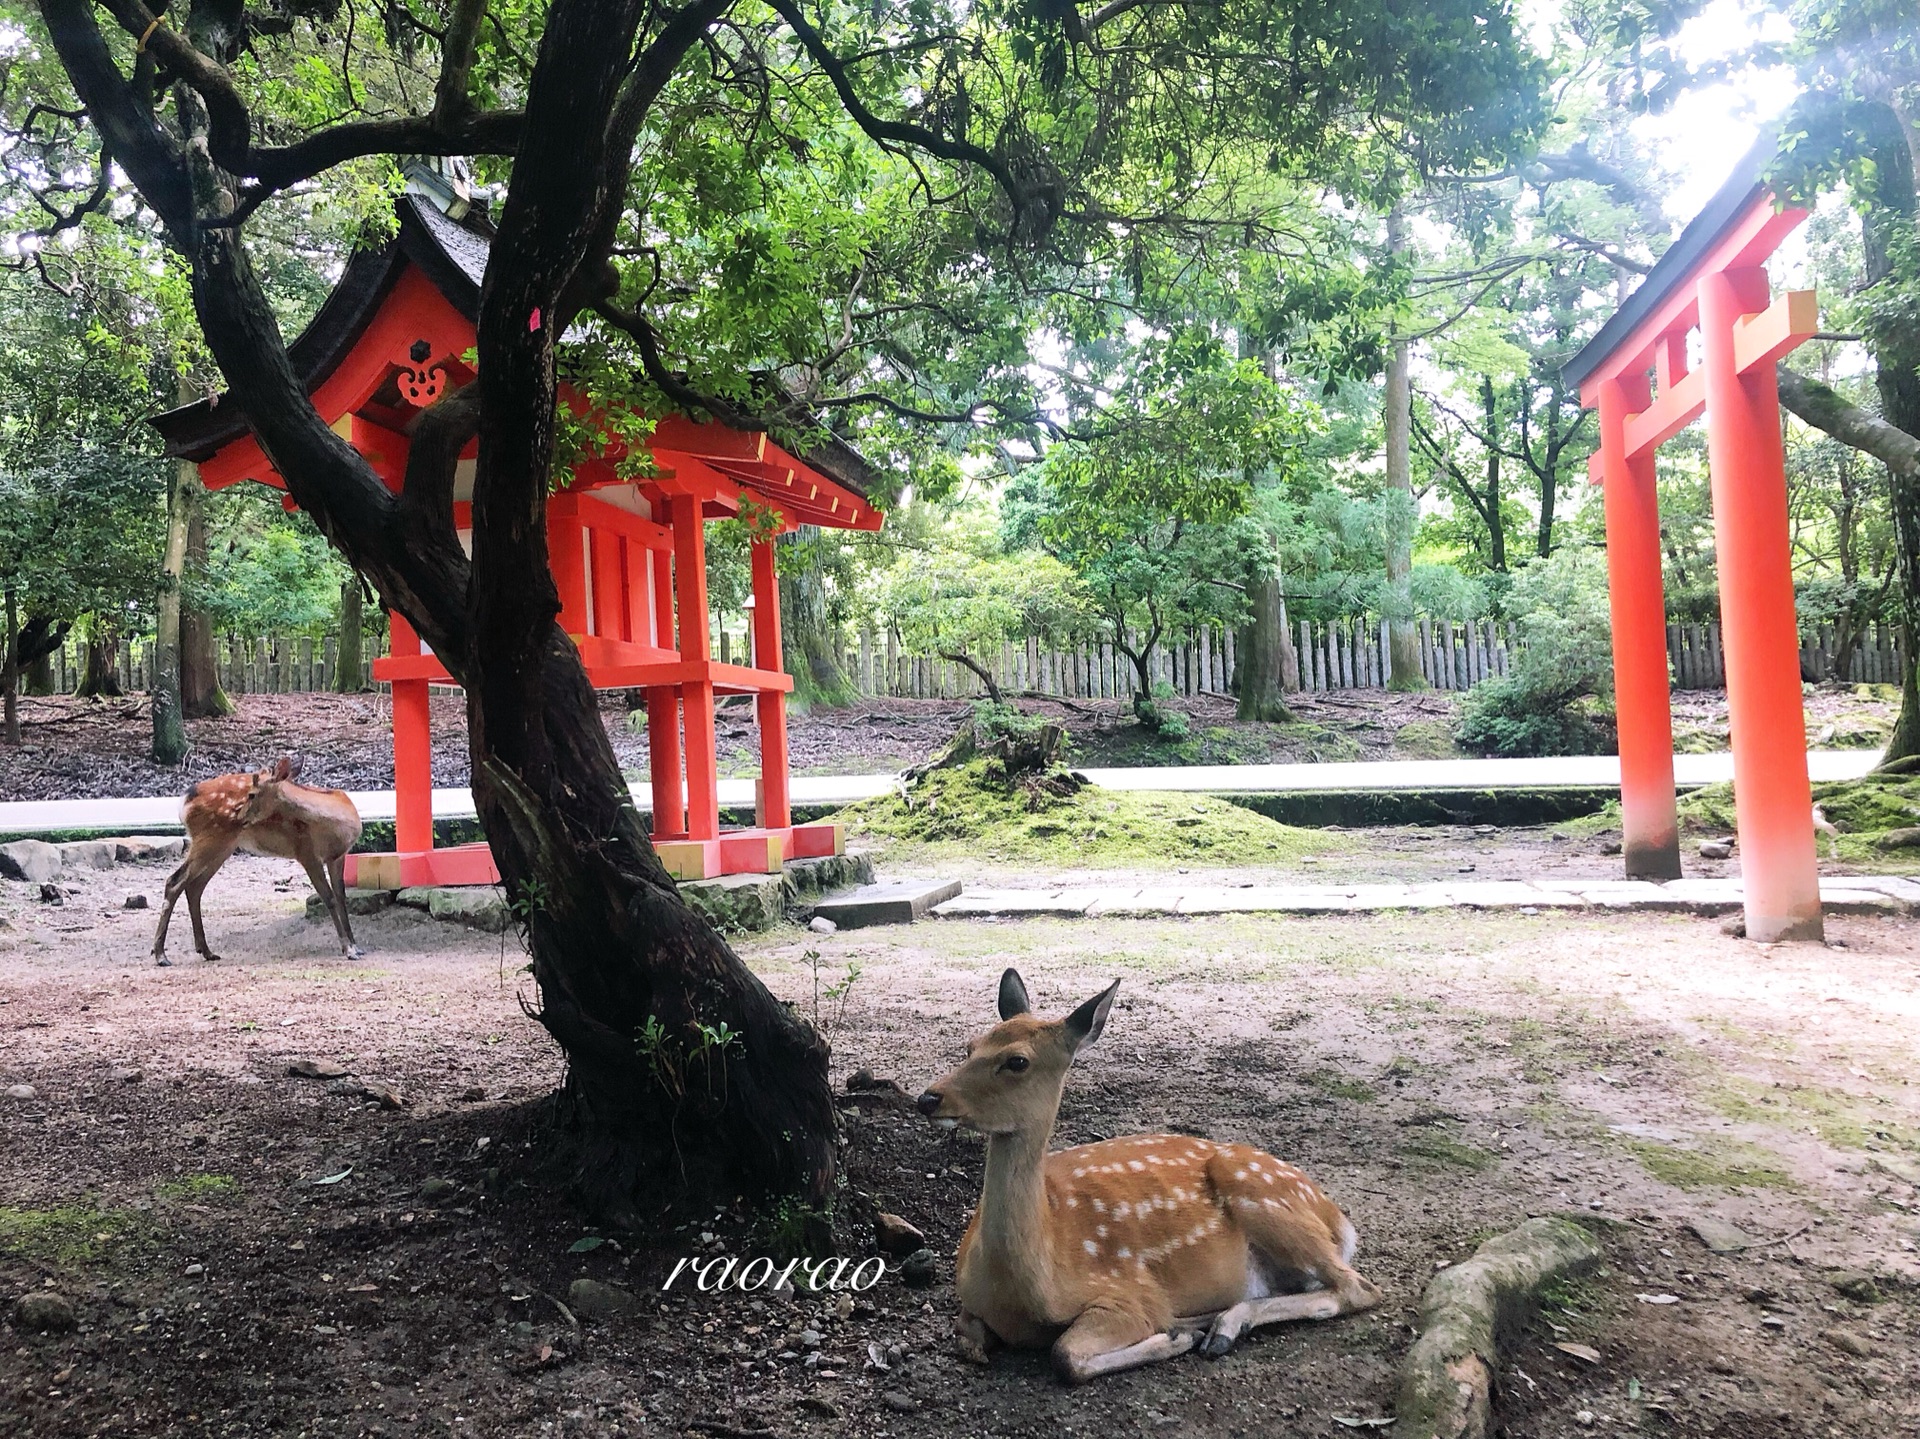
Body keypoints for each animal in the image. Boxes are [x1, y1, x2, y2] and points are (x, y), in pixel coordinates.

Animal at [151, 753, 364, 964]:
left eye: (252, 794)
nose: (239, 815)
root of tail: (185, 801)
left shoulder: (337, 856)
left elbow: (341, 896)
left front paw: (356, 946)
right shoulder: (306, 854)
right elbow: (329, 898)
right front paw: (348, 949)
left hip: (222, 847)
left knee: (194, 887)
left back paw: (206, 951)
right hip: (209, 839)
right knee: (174, 881)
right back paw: (161, 955)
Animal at [917, 964, 1382, 1383]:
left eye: (1017, 1061)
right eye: (971, 1045)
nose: (928, 1098)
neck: (1025, 1289)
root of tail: (1336, 1218)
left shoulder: (1128, 1294)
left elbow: (1065, 1354)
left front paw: (1175, 1335)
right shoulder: (969, 1301)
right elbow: (967, 1336)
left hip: (1263, 1196)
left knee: (1359, 1287)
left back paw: (1217, 1327)